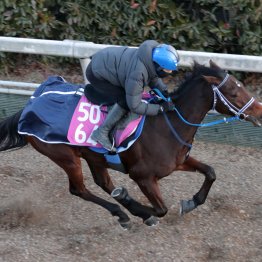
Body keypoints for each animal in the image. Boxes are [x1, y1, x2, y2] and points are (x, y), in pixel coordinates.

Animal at [0, 59, 262, 227]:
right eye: (234, 93)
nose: (259, 111)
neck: (168, 125)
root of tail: (29, 106)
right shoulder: (142, 176)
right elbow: (161, 209)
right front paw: (138, 209)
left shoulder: (178, 162)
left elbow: (210, 172)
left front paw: (190, 202)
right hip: (66, 157)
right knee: (79, 189)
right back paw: (122, 210)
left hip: (93, 156)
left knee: (103, 182)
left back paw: (121, 210)